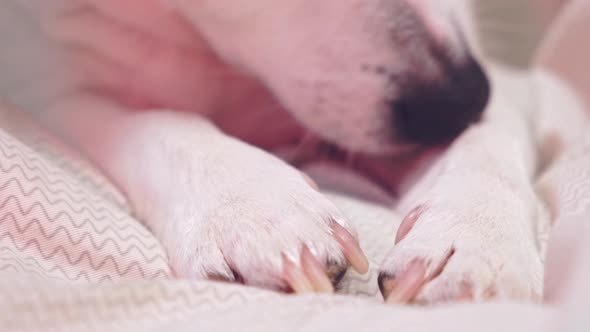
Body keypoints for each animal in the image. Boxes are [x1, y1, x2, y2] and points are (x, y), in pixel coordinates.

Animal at [0, 0, 556, 304]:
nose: (460, 99)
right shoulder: (57, 91)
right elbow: (159, 123)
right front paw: (255, 207)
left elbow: (490, 138)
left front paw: (480, 237)